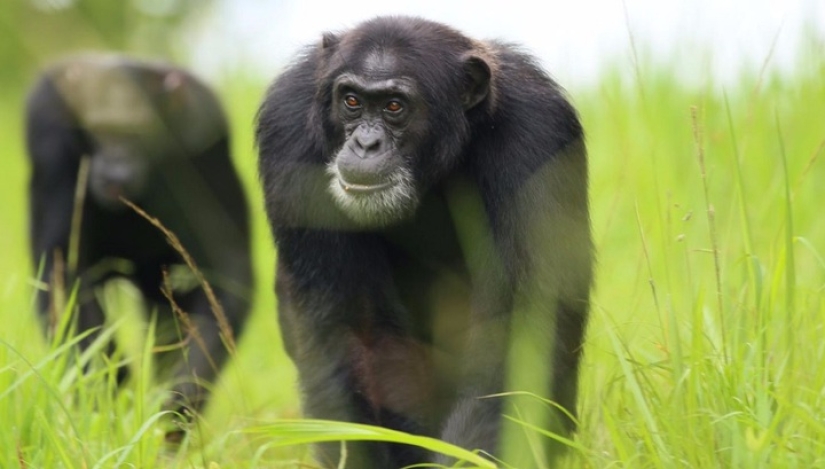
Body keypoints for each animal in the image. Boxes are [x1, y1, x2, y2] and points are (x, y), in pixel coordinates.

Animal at [25, 54, 253, 416]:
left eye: (139, 131)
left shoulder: (206, 138)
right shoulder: (49, 134)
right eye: (101, 130)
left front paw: (181, 394)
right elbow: (64, 267)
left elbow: (223, 269)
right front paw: (105, 385)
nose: (117, 164)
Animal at [258, 16, 592, 466]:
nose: (365, 143)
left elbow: (517, 324)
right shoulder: (287, 128)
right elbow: (354, 331)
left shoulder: (538, 130)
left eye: (395, 106)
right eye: (351, 101)